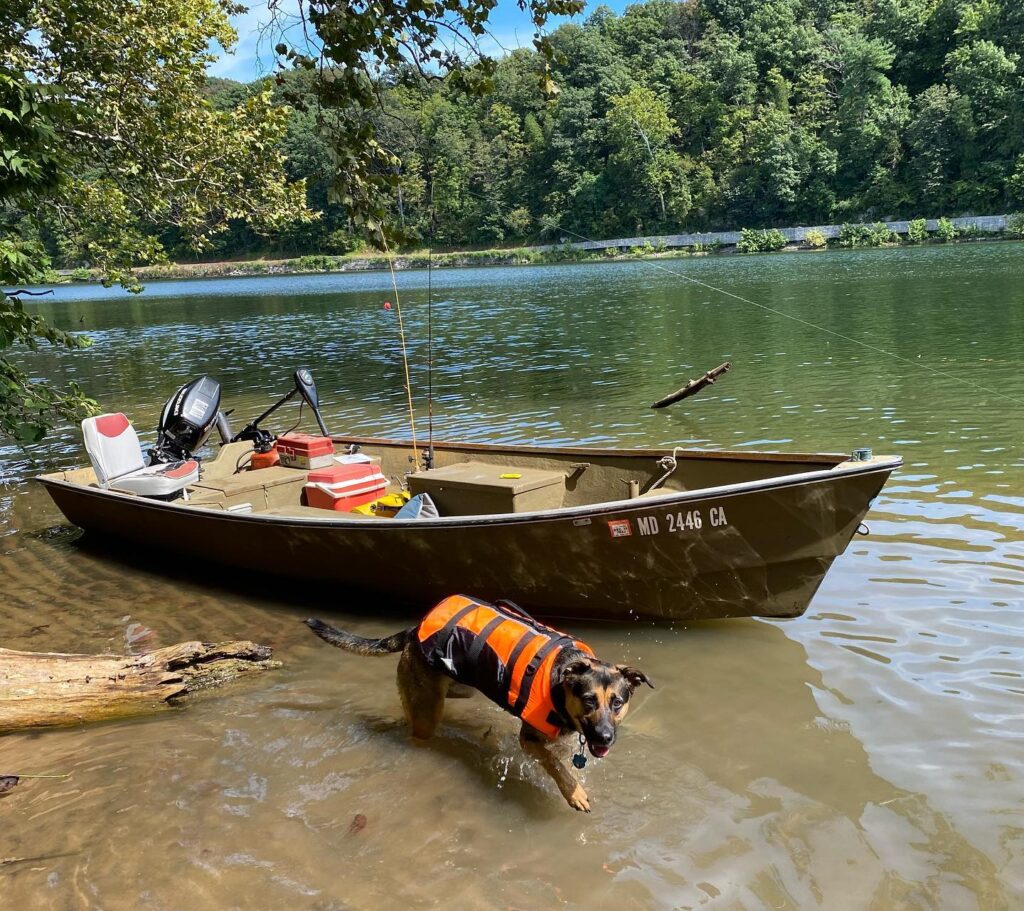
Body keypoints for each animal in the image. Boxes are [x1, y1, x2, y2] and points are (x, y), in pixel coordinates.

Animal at [305, 593, 655, 814]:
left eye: (617, 703)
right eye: (588, 700)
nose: (605, 737)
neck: (563, 678)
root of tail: (415, 629)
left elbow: (562, 758)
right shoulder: (529, 740)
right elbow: (556, 765)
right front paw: (575, 793)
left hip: (456, 689)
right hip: (428, 716)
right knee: (417, 725)